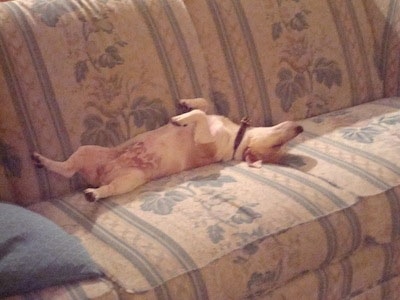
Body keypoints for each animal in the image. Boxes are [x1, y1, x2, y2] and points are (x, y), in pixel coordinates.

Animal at [32, 98, 304, 202]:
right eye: (280, 144)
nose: (301, 128)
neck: (237, 139)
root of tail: (100, 175)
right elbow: (203, 104)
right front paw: (185, 104)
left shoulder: (205, 139)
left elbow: (199, 116)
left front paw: (180, 119)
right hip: (87, 150)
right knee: (66, 168)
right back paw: (42, 160)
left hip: (129, 180)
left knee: (104, 188)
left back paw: (93, 194)